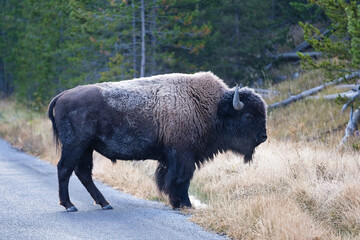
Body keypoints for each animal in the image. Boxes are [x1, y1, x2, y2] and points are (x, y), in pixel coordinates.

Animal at [47, 71, 266, 212]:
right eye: (248, 115)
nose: (263, 136)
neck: (212, 107)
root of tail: (61, 96)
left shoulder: (172, 158)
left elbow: (171, 179)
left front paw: (177, 203)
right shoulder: (183, 156)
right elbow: (181, 180)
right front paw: (185, 204)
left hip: (87, 148)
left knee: (83, 173)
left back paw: (104, 203)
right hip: (76, 145)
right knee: (64, 169)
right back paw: (70, 205)